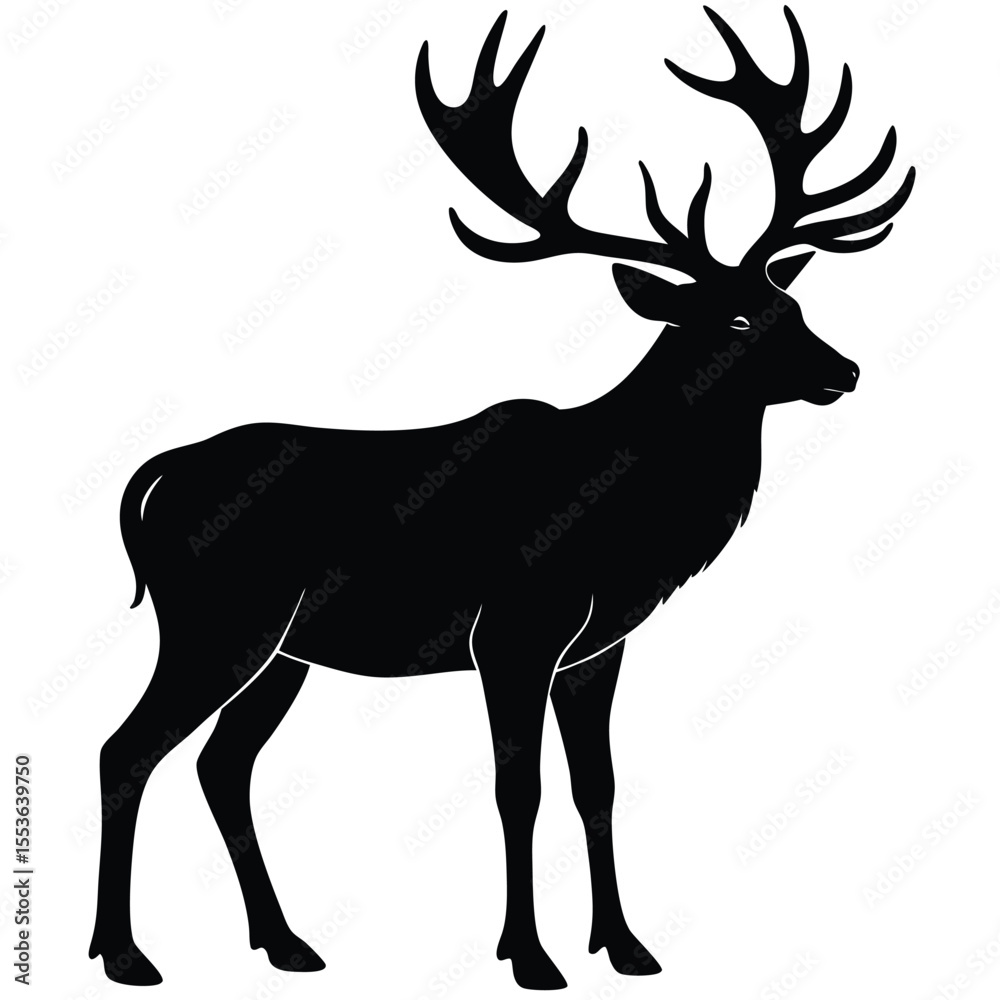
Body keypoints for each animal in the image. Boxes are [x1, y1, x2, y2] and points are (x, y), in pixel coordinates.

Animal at [88, 5, 914, 990]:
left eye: (789, 303)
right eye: (738, 318)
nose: (846, 370)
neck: (627, 516)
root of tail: (157, 475)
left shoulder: (598, 647)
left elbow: (597, 786)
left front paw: (626, 946)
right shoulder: (514, 631)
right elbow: (518, 787)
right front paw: (529, 955)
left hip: (282, 649)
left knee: (222, 764)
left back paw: (285, 943)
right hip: (219, 621)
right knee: (126, 749)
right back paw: (124, 953)